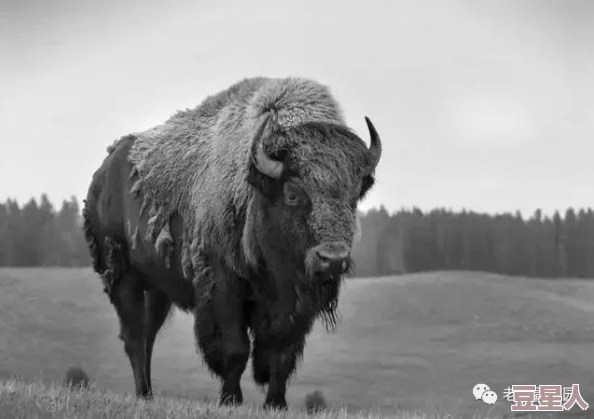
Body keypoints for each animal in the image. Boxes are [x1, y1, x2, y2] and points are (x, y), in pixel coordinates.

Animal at [81, 76, 382, 410]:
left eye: (354, 195)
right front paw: (231, 399)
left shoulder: (295, 304)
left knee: (148, 336)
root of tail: (102, 175)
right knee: (134, 337)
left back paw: (147, 396)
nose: (333, 258)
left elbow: (281, 353)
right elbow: (235, 349)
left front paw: (275, 403)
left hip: (158, 289)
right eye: (292, 193)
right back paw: (144, 394)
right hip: (124, 277)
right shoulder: (222, 286)